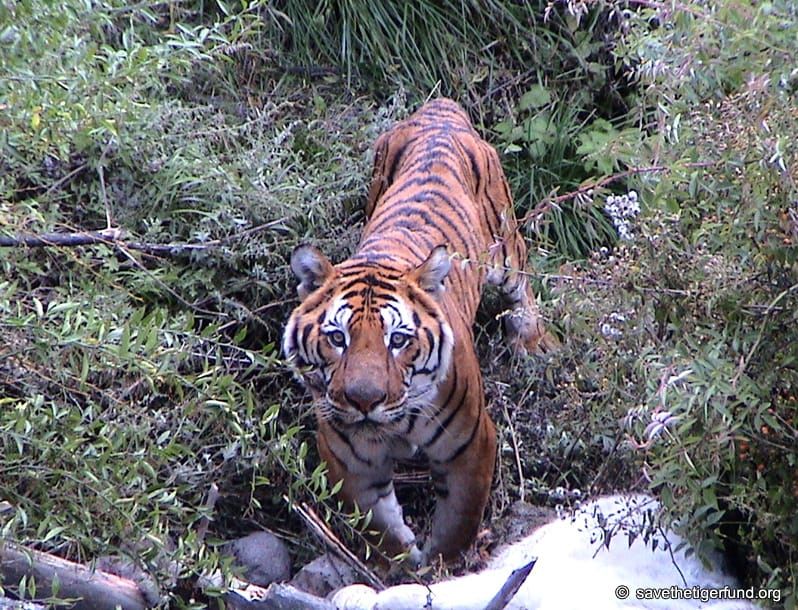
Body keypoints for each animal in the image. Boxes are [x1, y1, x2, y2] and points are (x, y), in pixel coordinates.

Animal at [282, 98, 557, 564]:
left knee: (522, 285)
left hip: (505, 244)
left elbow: (459, 521)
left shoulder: (471, 444)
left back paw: (533, 342)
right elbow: (379, 526)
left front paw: (446, 565)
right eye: (337, 338)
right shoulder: (348, 461)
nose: (364, 401)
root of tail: (439, 109)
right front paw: (403, 561)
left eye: (398, 340)